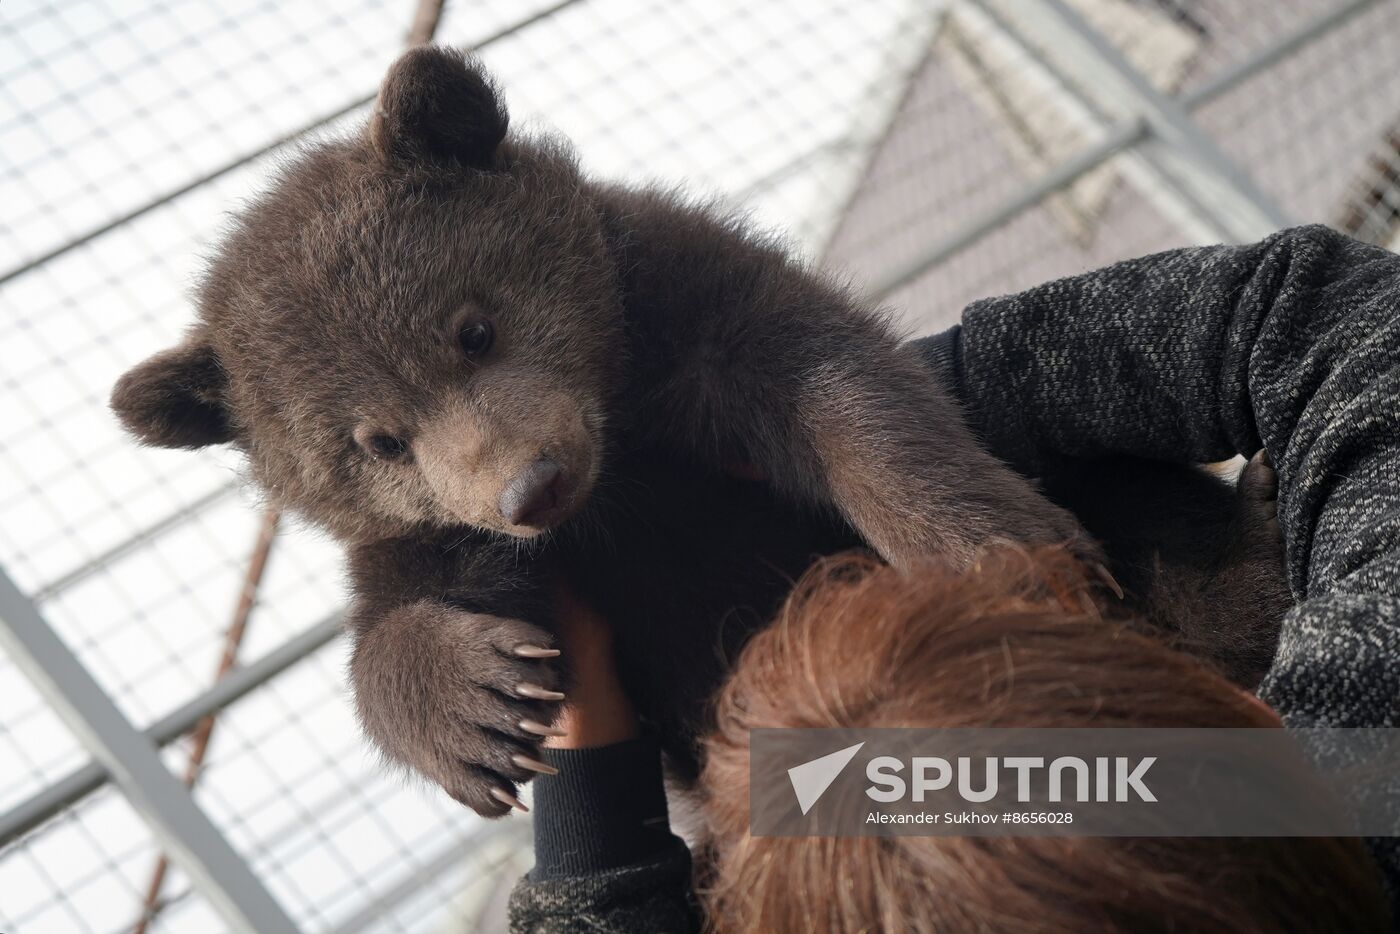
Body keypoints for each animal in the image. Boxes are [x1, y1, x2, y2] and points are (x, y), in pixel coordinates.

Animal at [111, 47, 1288, 817]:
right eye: (376, 442)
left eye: (473, 327)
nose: (531, 486)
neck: (622, 470)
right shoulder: (453, 539)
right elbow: (392, 624)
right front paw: (475, 707)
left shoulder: (692, 317)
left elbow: (841, 383)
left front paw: (984, 545)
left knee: (1144, 508)